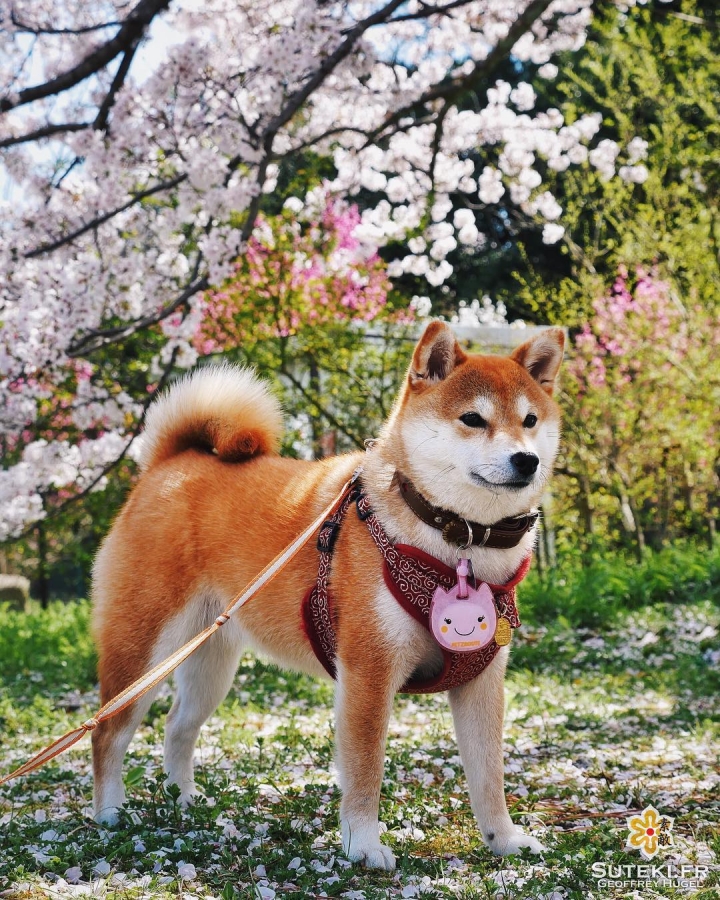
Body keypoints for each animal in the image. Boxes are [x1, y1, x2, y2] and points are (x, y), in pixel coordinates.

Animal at [91, 320, 564, 868]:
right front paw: (364, 843)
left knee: (176, 728)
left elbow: (489, 775)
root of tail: (168, 464)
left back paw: (182, 802)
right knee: (107, 731)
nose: (526, 459)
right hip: (143, 650)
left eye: (530, 420)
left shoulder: (481, 679)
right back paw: (110, 814)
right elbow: (365, 771)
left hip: (209, 664)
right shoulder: (368, 672)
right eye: (473, 419)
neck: (458, 543)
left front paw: (504, 839)